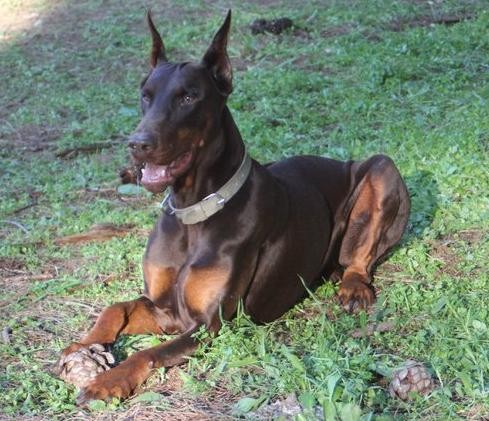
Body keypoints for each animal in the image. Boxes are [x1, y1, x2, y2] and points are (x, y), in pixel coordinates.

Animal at [55, 10, 410, 404]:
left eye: (188, 97)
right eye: (145, 96)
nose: (137, 144)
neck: (193, 212)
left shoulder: (207, 324)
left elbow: (148, 353)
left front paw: (106, 381)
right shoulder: (164, 308)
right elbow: (114, 307)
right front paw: (81, 348)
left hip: (381, 168)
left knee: (361, 257)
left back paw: (352, 286)